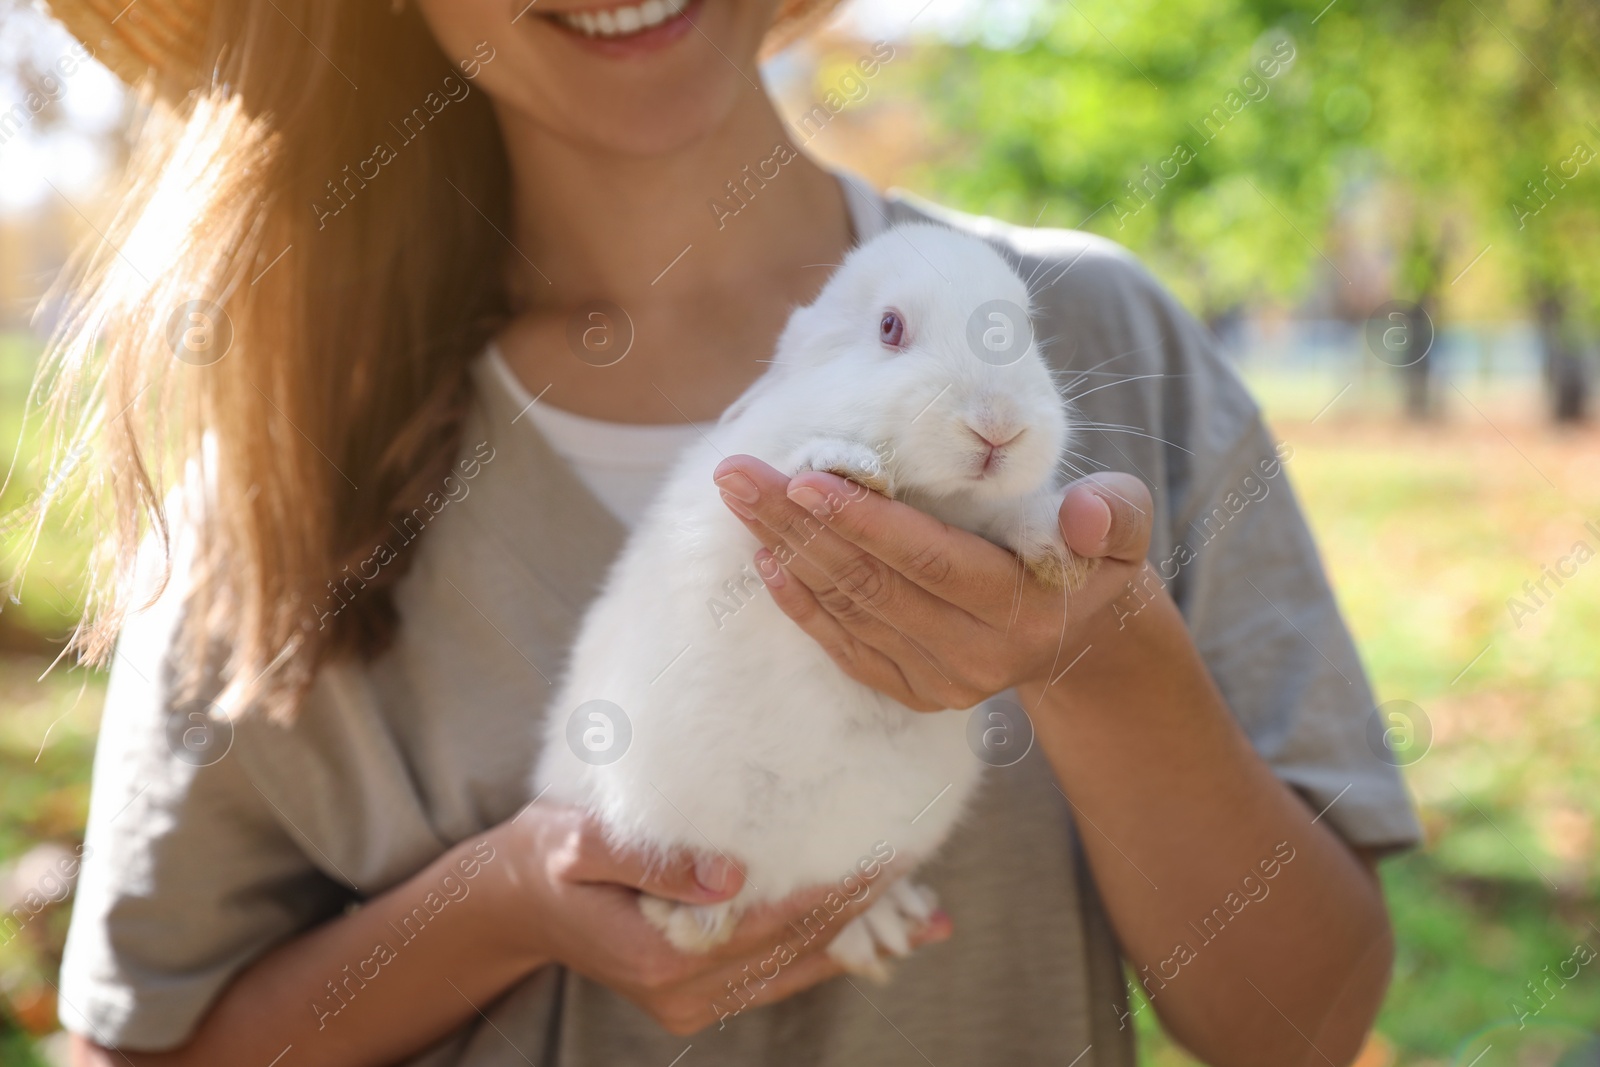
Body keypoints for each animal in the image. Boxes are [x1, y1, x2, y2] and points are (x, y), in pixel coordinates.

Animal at [531, 225, 1094, 985]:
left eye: (1028, 330)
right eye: (890, 328)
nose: (997, 428)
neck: (929, 498)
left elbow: (1016, 515)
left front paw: (1056, 545)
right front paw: (844, 466)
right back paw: (692, 920)